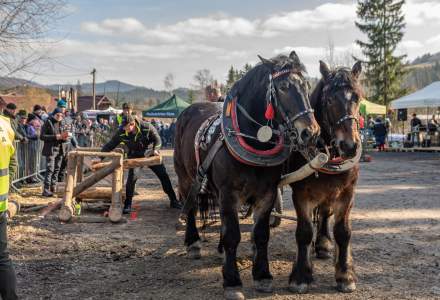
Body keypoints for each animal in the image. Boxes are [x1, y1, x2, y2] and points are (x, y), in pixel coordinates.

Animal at [174, 52, 320, 300]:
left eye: (306, 85)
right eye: (283, 87)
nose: (310, 132)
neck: (254, 140)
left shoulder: (267, 193)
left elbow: (260, 234)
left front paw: (262, 275)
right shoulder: (228, 193)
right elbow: (233, 234)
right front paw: (232, 281)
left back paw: (220, 250)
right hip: (186, 177)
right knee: (191, 206)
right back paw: (193, 242)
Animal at [288, 60, 362, 292]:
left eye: (358, 97)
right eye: (329, 99)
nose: (349, 146)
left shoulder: (347, 193)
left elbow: (343, 232)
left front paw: (345, 274)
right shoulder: (300, 194)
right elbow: (303, 232)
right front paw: (301, 275)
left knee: (325, 213)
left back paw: (323, 243)